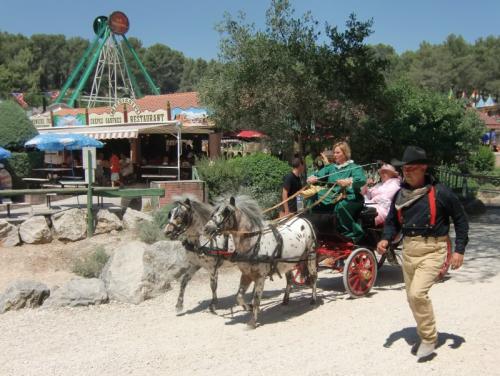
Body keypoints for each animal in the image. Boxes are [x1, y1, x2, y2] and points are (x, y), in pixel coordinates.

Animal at [203, 195, 316, 328]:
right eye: (214, 212)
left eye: (226, 211)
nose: (207, 229)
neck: (253, 242)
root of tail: (304, 220)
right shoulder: (246, 274)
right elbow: (239, 297)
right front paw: (249, 307)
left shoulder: (260, 277)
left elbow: (256, 299)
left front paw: (252, 322)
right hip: (288, 263)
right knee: (289, 280)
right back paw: (285, 300)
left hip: (311, 257)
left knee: (313, 278)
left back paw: (313, 300)